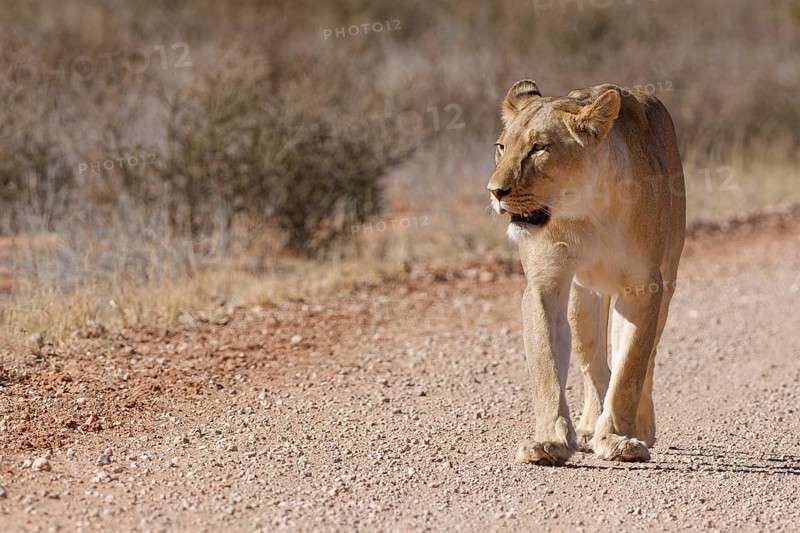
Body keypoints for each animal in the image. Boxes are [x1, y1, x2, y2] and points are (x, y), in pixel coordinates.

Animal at [487, 80, 686, 465]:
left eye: (539, 148)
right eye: (501, 147)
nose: (495, 192)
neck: (585, 211)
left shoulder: (643, 287)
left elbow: (630, 366)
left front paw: (620, 439)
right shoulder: (545, 284)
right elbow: (547, 365)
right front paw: (549, 442)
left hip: (667, 280)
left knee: (648, 357)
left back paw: (639, 426)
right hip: (584, 296)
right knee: (592, 362)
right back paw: (590, 426)